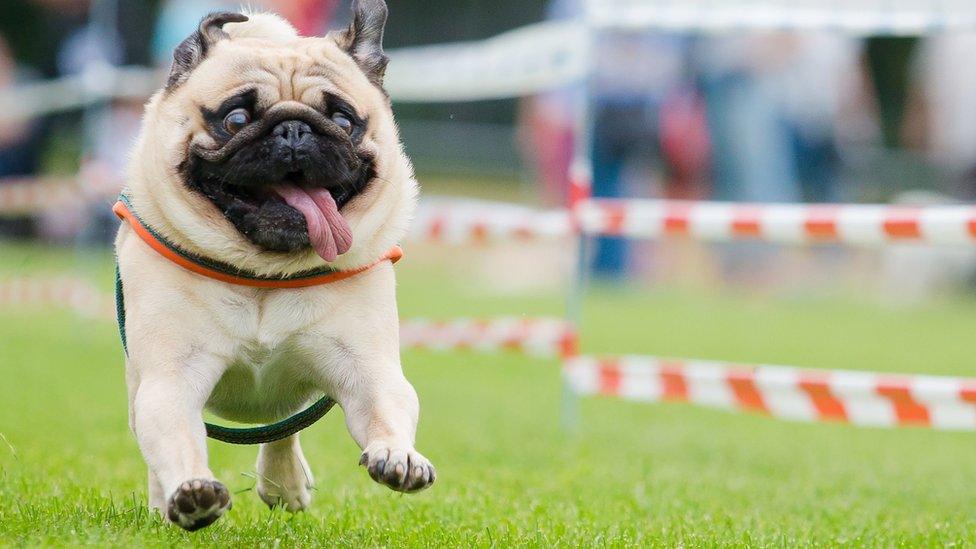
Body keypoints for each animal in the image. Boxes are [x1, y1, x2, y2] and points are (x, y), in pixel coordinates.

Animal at [115, 1, 434, 532]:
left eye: (343, 121)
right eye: (236, 118)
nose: (294, 130)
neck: (265, 274)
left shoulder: (368, 371)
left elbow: (386, 410)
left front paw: (397, 455)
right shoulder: (170, 378)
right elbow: (176, 436)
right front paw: (190, 491)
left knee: (282, 425)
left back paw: (285, 483)